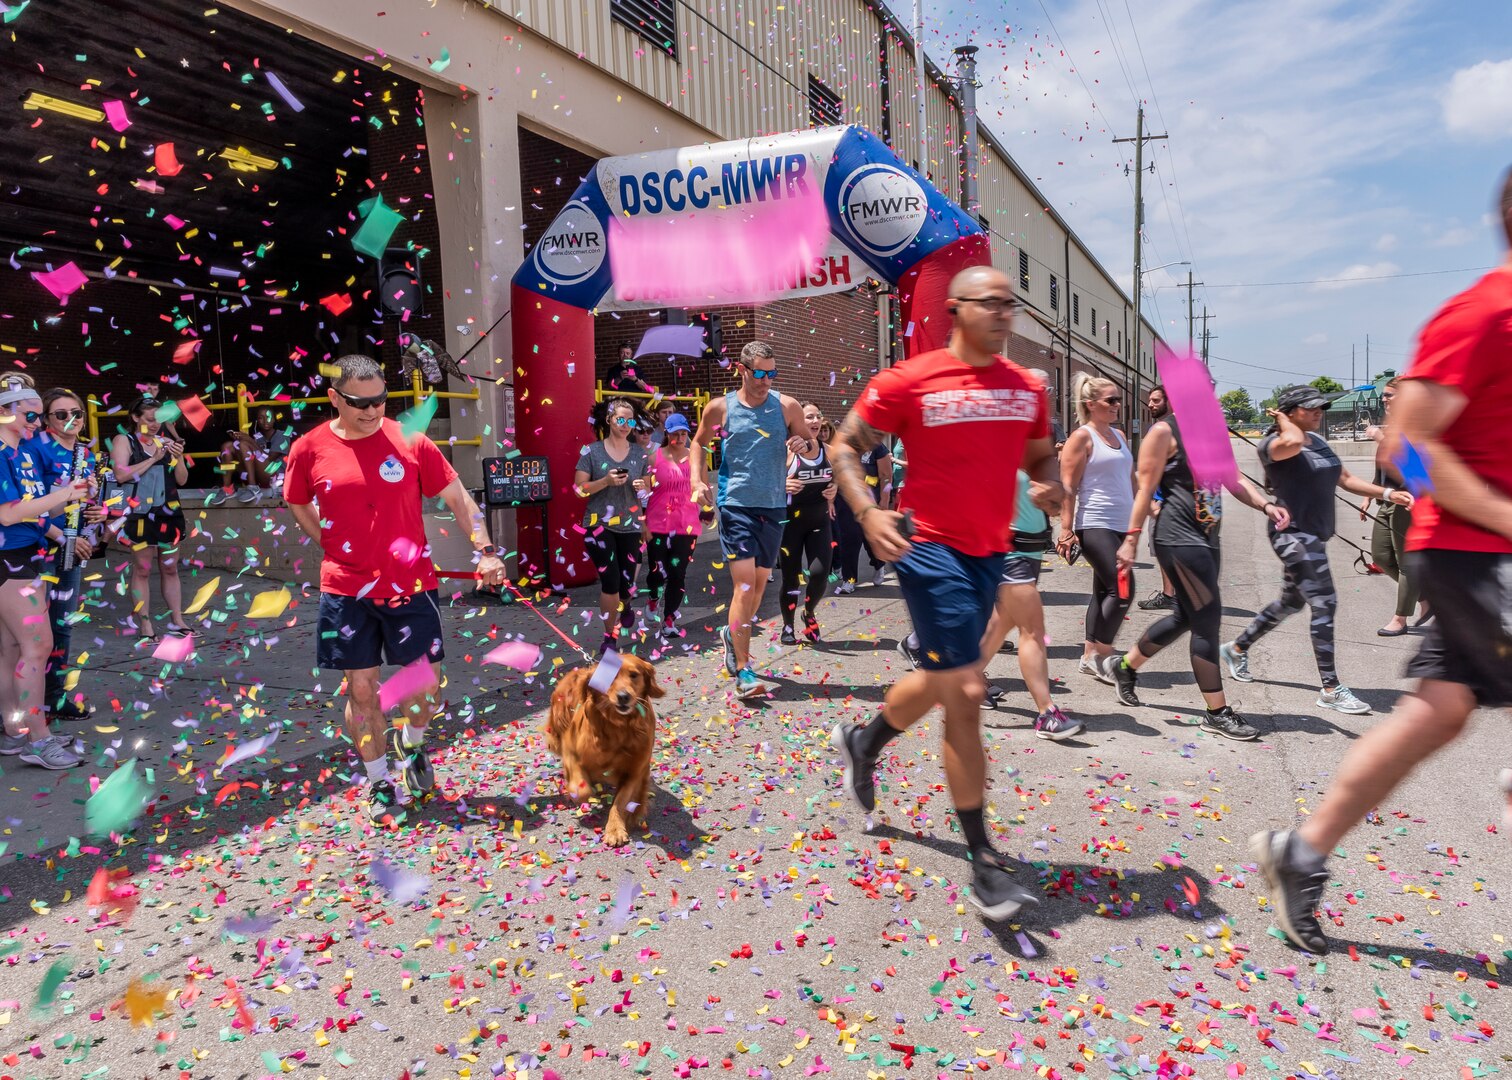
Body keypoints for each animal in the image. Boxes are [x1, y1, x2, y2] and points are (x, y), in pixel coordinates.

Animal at [544, 653, 662, 847]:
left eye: (634, 675)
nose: (623, 696)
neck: (618, 727)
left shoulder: (634, 770)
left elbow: (620, 801)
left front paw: (615, 829)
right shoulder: (571, 752)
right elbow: (581, 789)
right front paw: (583, 794)